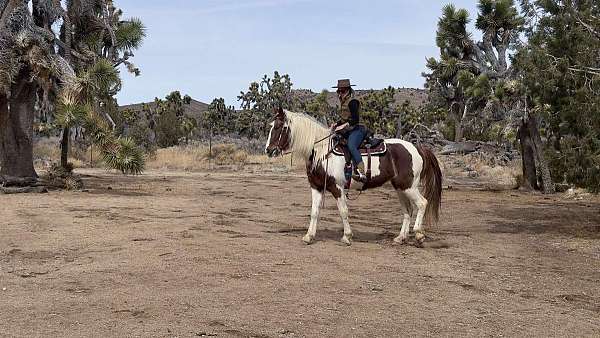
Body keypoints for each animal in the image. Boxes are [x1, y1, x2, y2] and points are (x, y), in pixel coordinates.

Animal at [264, 107, 442, 247]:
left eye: (279, 127)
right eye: (271, 126)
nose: (268, 150)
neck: (322, 151)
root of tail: (416, 148)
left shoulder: (337, 188)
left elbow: (343, 211)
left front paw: (347, 236)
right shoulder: (316, 187)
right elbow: (314, 211)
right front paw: (309, 236)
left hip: (409, 186)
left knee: (422, 203)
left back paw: (418, 234)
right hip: (400, 187)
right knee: (408, 210)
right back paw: (400, 238)